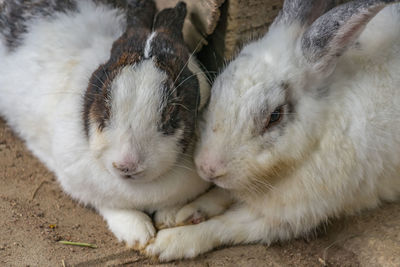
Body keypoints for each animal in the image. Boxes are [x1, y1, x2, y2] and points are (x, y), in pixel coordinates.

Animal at [0, 0, 216, 249]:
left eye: (172, 111)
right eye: (105, 101)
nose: (127, 165)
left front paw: (171, 217)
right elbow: (111, 206)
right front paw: (139, 234)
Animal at [145, 0, 400, 262]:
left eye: (274, 116)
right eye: (217, 88)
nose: (208, 168)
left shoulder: (282, 218)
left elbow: (222, 226)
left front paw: (169, 243)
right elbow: (217, 196)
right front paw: (179, 212)